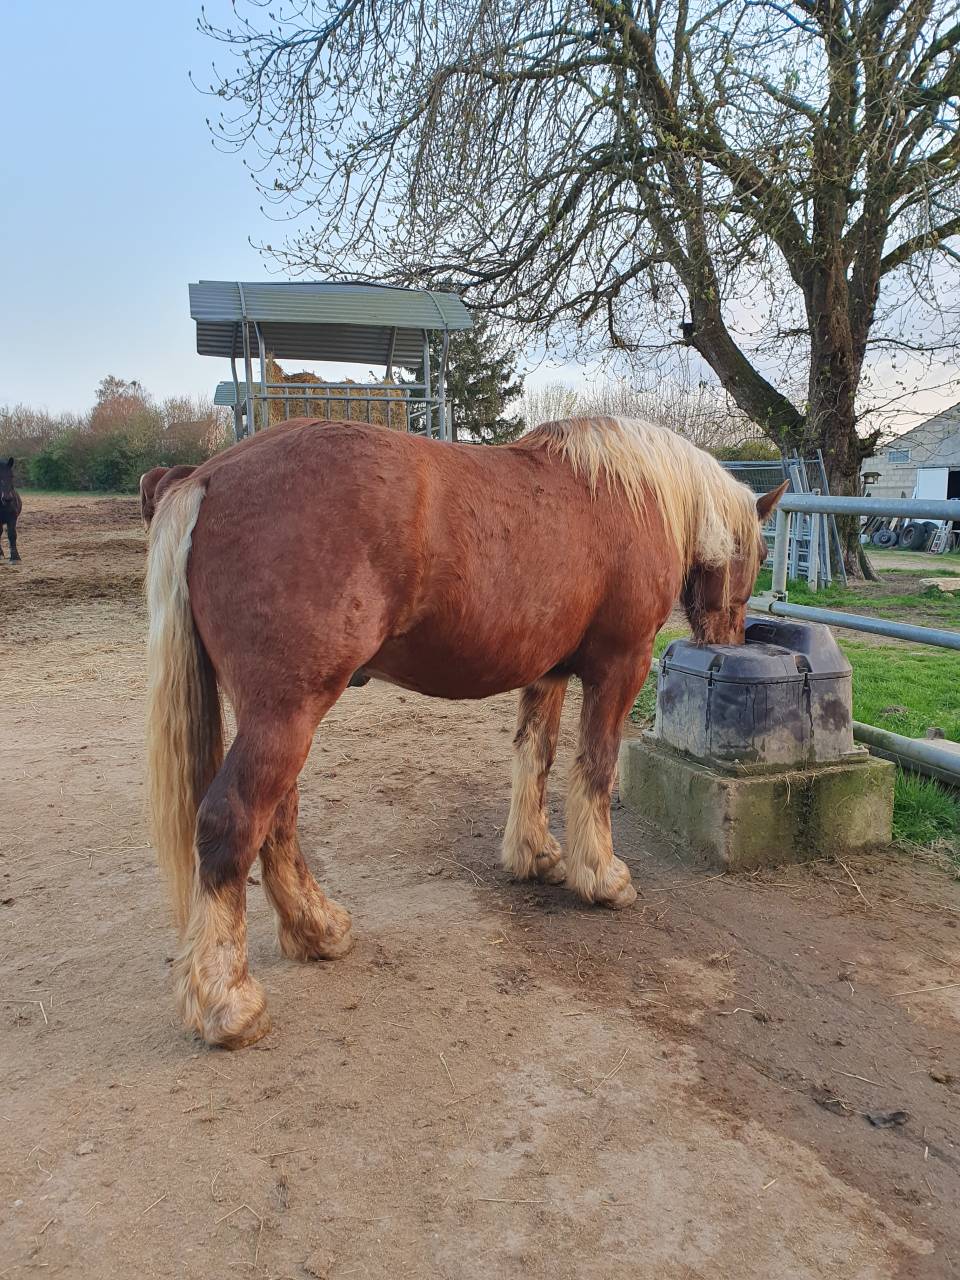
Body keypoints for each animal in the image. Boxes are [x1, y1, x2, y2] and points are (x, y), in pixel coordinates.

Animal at [145, 416, 787, 1048]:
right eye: (757, 557)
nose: (729, 642)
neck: (631, 492)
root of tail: (207, 476)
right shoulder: (620, 666)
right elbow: (596, 767)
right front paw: (602, 877)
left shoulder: (548, 671)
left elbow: (536, 755)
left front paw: (536, 854)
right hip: (287, 711)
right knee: (232, 822)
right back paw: (229, 1003)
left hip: (280, 715)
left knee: (277, 820)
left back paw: (318, 930)